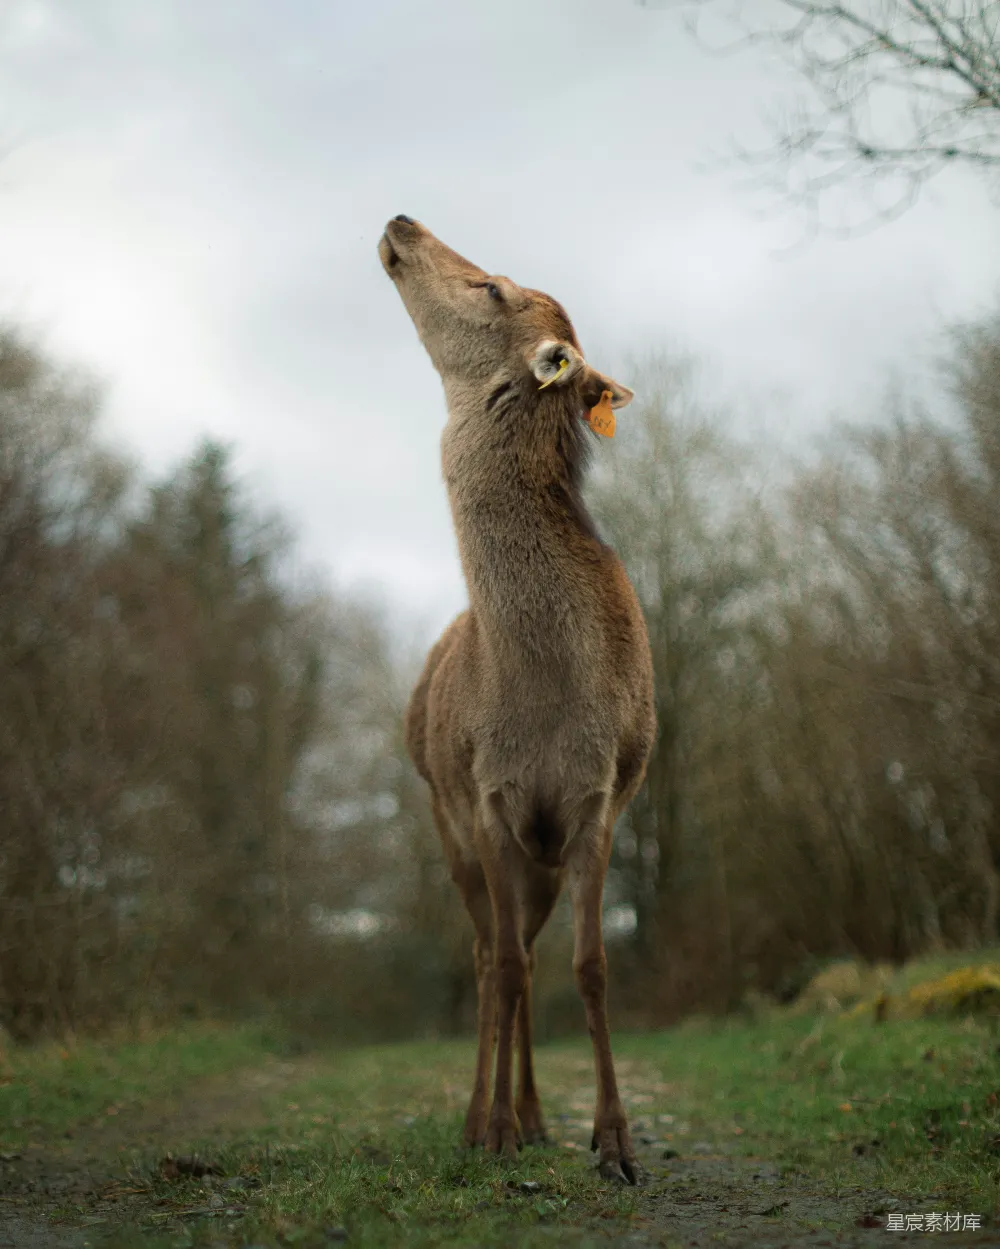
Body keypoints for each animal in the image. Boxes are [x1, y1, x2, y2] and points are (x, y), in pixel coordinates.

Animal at [379, 215, 655, 1185]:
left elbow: (591, 964)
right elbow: (498, 967)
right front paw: (489, 1127)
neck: (545, 697)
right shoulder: (490, 797)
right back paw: (489, 1117)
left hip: (539, 859)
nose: (402, 221)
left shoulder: (598, 800)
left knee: (529, 953)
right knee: (489, 952)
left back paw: (535, 1114)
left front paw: (615, 1142)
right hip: (447, 823)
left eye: (491, 287)